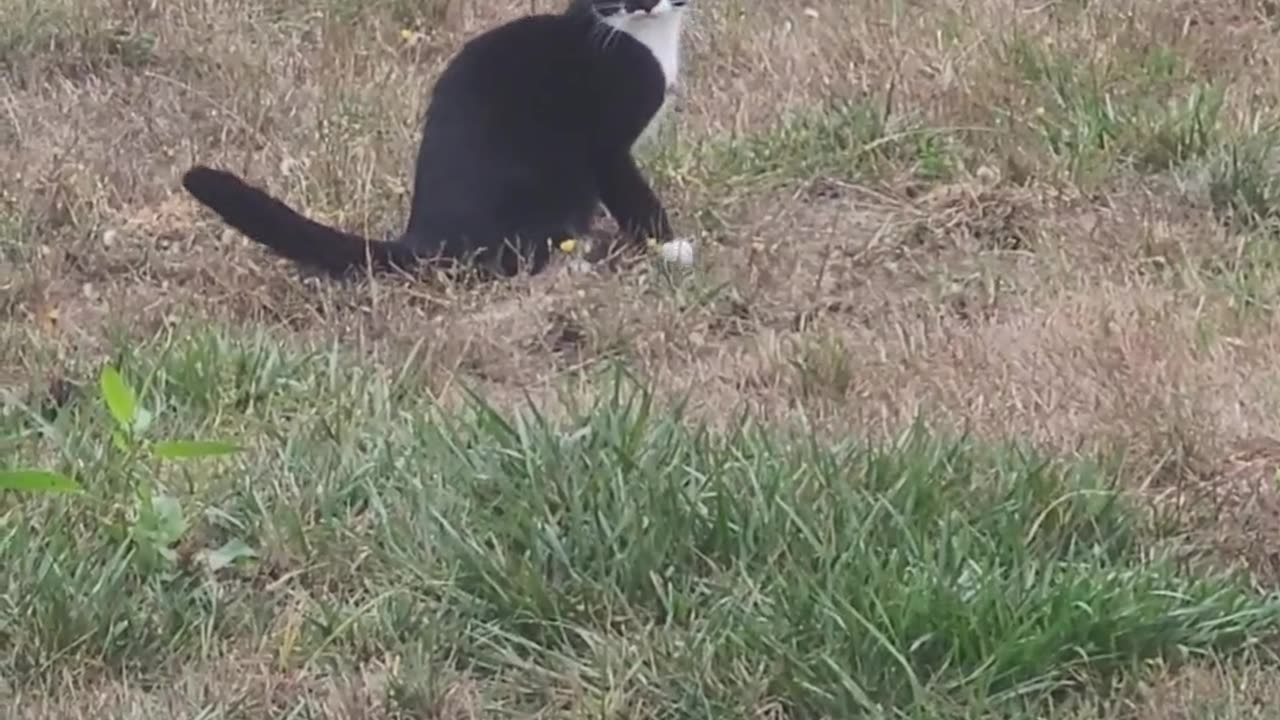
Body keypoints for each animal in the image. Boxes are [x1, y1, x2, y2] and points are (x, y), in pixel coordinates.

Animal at [179, 0, 691, 279]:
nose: (644, 4)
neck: (642, 38)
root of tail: (423, 234)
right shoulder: (607, 149)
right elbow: (636, 198)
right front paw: (670, 247)